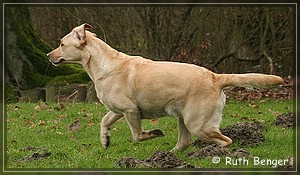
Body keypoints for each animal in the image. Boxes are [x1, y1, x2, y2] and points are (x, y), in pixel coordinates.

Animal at [47, 23, 284, 152]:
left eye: (61, 44)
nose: (48, 55)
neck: (103, 64)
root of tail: (215, 77)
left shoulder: (130, 111)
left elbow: (137, 135)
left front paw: (154, 133)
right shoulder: (117, 110)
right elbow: (104, 122)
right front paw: (105, 141)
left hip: (197, 123)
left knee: (226, 140)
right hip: (184, 120)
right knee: (185, 142)